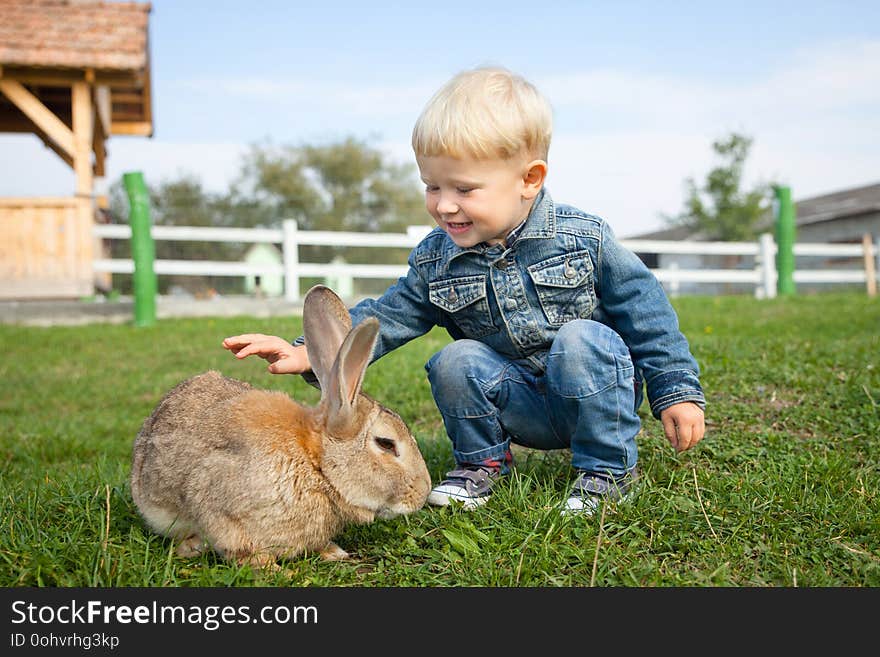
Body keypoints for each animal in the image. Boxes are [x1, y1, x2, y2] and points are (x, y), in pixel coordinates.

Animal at [129, 284, 432, 568]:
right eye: (386, 443)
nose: (422, 494)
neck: (316, 465)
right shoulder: (218, 506)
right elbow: (241, 550)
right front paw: (275, 570)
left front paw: (332, 551)